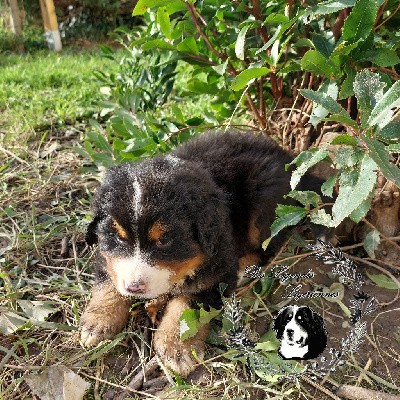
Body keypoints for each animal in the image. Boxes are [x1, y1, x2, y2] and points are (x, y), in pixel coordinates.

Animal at [80, 131, 324, 376]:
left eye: (165, 240)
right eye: (119, 237)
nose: (134, 288)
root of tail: (287, 158)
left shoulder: (218, 271)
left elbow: (188, 307)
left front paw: (177, 348)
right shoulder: (107, 255)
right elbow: (108, 279)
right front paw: (98, 321)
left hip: (264, 209)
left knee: (266, 249)